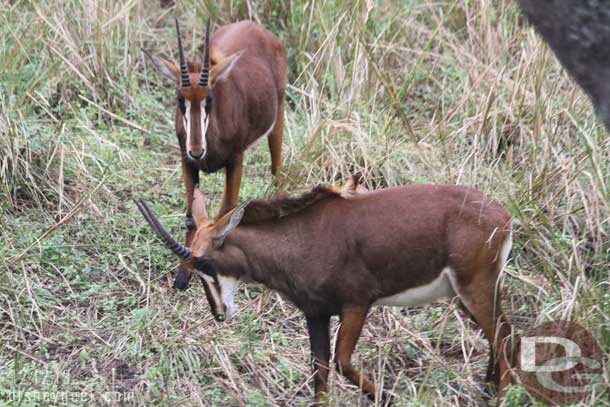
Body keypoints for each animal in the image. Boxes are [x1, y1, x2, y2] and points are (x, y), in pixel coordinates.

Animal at [134, 175, 512, 404]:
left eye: (207, 264)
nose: (218, 312)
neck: (301, 238)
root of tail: (501, 215)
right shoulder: (315, 314)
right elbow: (320, 374)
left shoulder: (357, 305)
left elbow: (341, 363)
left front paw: (390, 397)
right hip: (464, 295)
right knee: (500, 336)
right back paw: (488, 391)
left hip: (475, 288)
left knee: (507, 337)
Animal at [142, 16, 284, 290]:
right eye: (180, 98)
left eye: (209, 99)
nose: (197, 151)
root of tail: (254, 26)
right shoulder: (186, 162)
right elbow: (191, 216)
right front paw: (182, 276)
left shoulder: (236, 160)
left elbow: (227, 210)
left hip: (279, 113)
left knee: (276, 166)